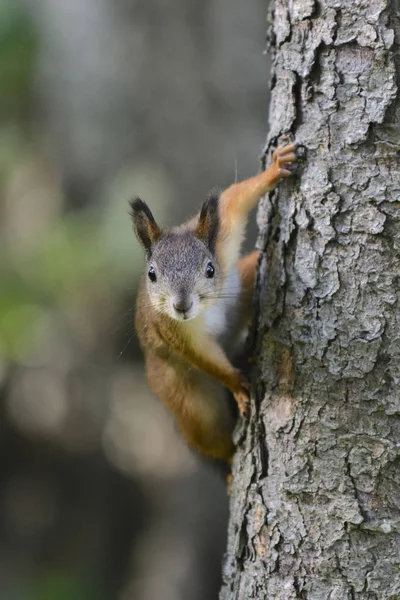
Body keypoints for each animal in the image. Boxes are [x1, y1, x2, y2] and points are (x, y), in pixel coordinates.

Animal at [131, 143, 296, 462]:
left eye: (209, 269)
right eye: (152, 274)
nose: (181, 306)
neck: (205, 311)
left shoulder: (223, 239)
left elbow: (236, 198)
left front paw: (275, 168)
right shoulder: (173, 331)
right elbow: (205, 358)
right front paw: (238, 386)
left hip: (244, 279)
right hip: (189, 403)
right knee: (213, 439)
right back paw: (231, 464)